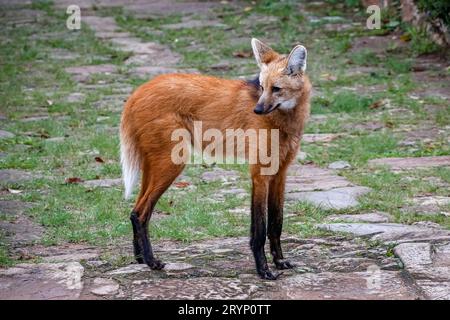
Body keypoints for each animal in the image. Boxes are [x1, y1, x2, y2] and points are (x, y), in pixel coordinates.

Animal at [119, 38, 310, 280]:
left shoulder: (280, 173)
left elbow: (276, 222)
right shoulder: (260, 174)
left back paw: (140, 259)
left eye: (276, 89)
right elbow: (260, 228)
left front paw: (280, 261)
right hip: (173, 163)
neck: (284, 120)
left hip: (155, 164)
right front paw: (264, 270)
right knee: (140, 213)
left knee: (135, 210)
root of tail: (137, 92)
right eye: (262, 87)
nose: (257, 110)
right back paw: (153, 262)